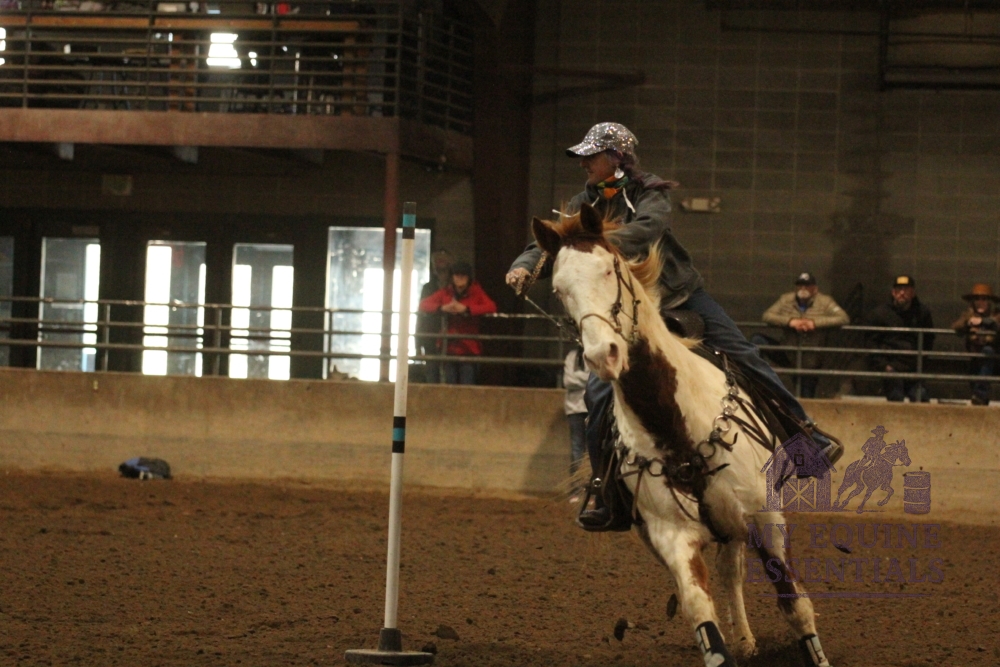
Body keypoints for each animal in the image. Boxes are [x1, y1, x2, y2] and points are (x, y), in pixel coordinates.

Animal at [532, 203, 833, 667]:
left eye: (609, 269)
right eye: (560, 289)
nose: (603, 355)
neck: (675, 425)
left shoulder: (765, 517)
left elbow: (795, 604)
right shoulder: (671, 536)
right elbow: (699, 612)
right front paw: (725, 644)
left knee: (733, 568)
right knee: (727, 571)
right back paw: (744, 640)